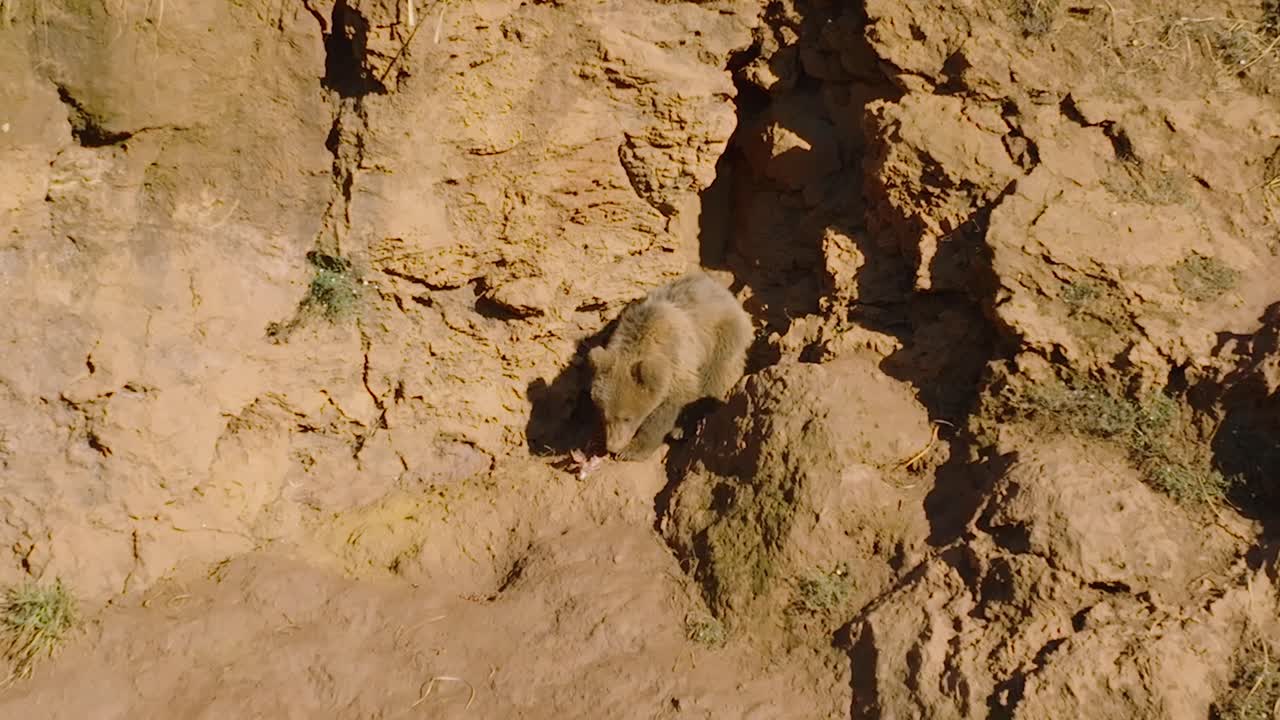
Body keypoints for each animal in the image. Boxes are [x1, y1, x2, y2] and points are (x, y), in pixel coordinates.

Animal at [588, 271, 754, 460]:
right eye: (604, 415)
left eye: (627, 418)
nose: (613, 446)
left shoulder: (677, 360)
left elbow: (670, 405)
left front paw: (632, 450)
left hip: (721, 334)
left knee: (715, 374)